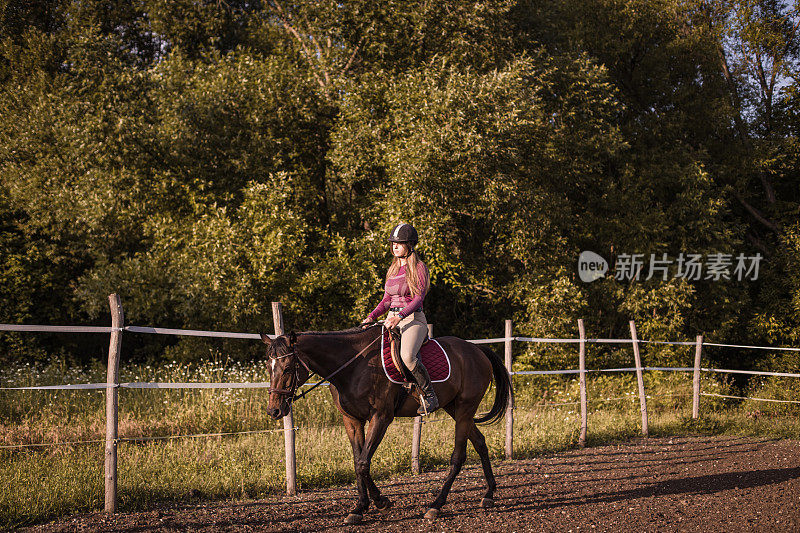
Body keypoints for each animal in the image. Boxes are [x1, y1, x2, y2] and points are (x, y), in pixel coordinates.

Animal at [262, 322, 512, 520]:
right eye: (268, 367)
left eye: (287, 368)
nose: (274, 410)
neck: (354, 366)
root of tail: (476, 349)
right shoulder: (352, 420)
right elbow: (357, 461)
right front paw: (361, 507)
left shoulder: (380, 418)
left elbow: (364, 463)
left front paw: (379, 502)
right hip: (455, 409)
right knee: (480, 442)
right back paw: (489, 494)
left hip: (464, 410)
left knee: (458, 457)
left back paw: (436, 506)